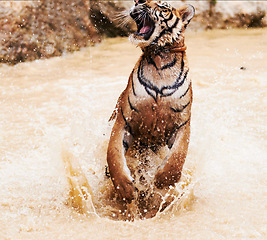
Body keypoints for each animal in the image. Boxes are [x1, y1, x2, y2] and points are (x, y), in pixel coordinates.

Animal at [108, 0, 196, 203]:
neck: (160, 59)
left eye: (163, 6)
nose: (138, 1)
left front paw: (163, 180)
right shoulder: (124, 119)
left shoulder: (182, 123)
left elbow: (178, 155)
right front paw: (124, 188)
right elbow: (113, 153)